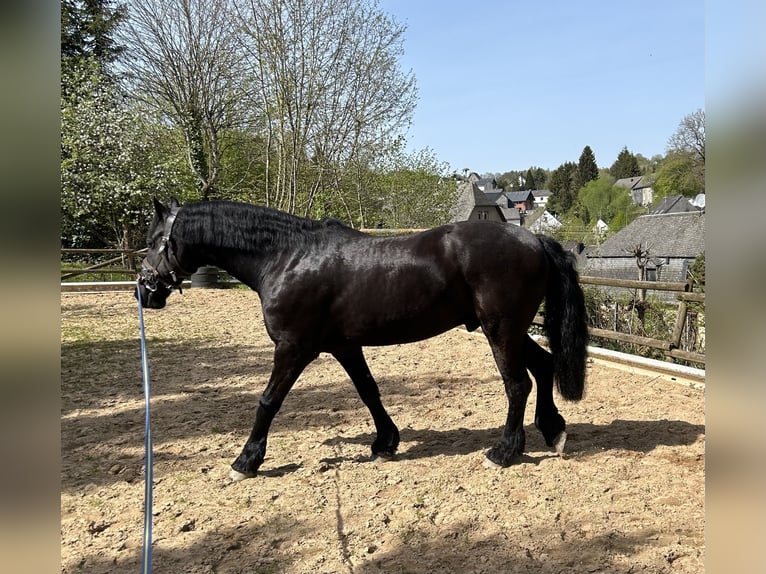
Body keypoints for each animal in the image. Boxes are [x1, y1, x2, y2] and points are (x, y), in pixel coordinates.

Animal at [136, 197, 588, 481]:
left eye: (156, 240)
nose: (145, 291)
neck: (285, 258)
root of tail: (534, 239)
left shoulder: (293, 348)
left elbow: (268, 401)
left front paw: (247, 460)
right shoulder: (343, 346)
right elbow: (369, 391)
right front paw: (385, 442)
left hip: (501, 330)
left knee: (518, 384)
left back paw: (504, 452)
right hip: (511, 330)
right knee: (543, 367)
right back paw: (553, 432)